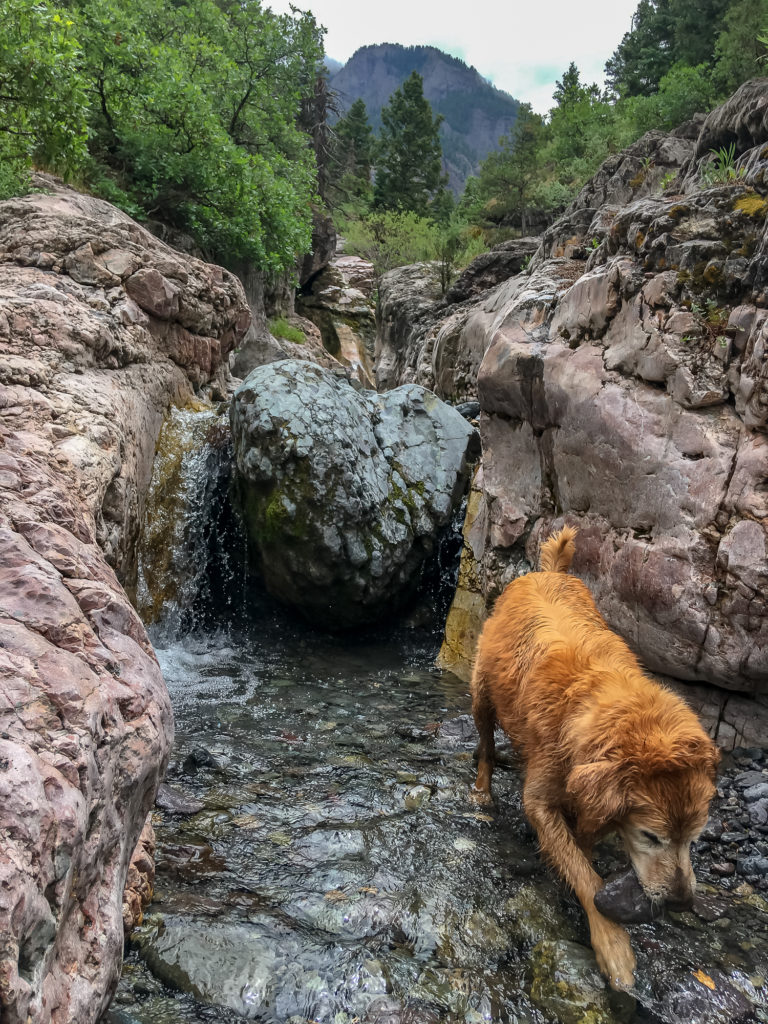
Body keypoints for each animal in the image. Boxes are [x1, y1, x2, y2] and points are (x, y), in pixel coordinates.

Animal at [468, 524, 720, 987]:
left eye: (693, 838)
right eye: (651, 837)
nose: (681, 903)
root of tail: (547, 573)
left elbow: (583, 847)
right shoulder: (541, 798)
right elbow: (584, 876)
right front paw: (613, 944)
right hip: (481, 694)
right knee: (487, 747)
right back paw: (482, 791)